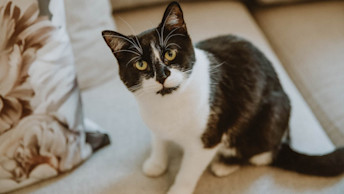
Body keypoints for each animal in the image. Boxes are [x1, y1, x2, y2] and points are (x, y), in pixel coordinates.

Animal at [102, 1, 344, 194]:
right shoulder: (155, 122)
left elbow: (189, 170)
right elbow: (158, 139)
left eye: (170, 53)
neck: (167, 104)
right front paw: (156, 164)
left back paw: (225, 164)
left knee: (263, 154)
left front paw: (178, 189)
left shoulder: (207, 138)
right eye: (141, 64)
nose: (162, 75)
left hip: (273, 113)